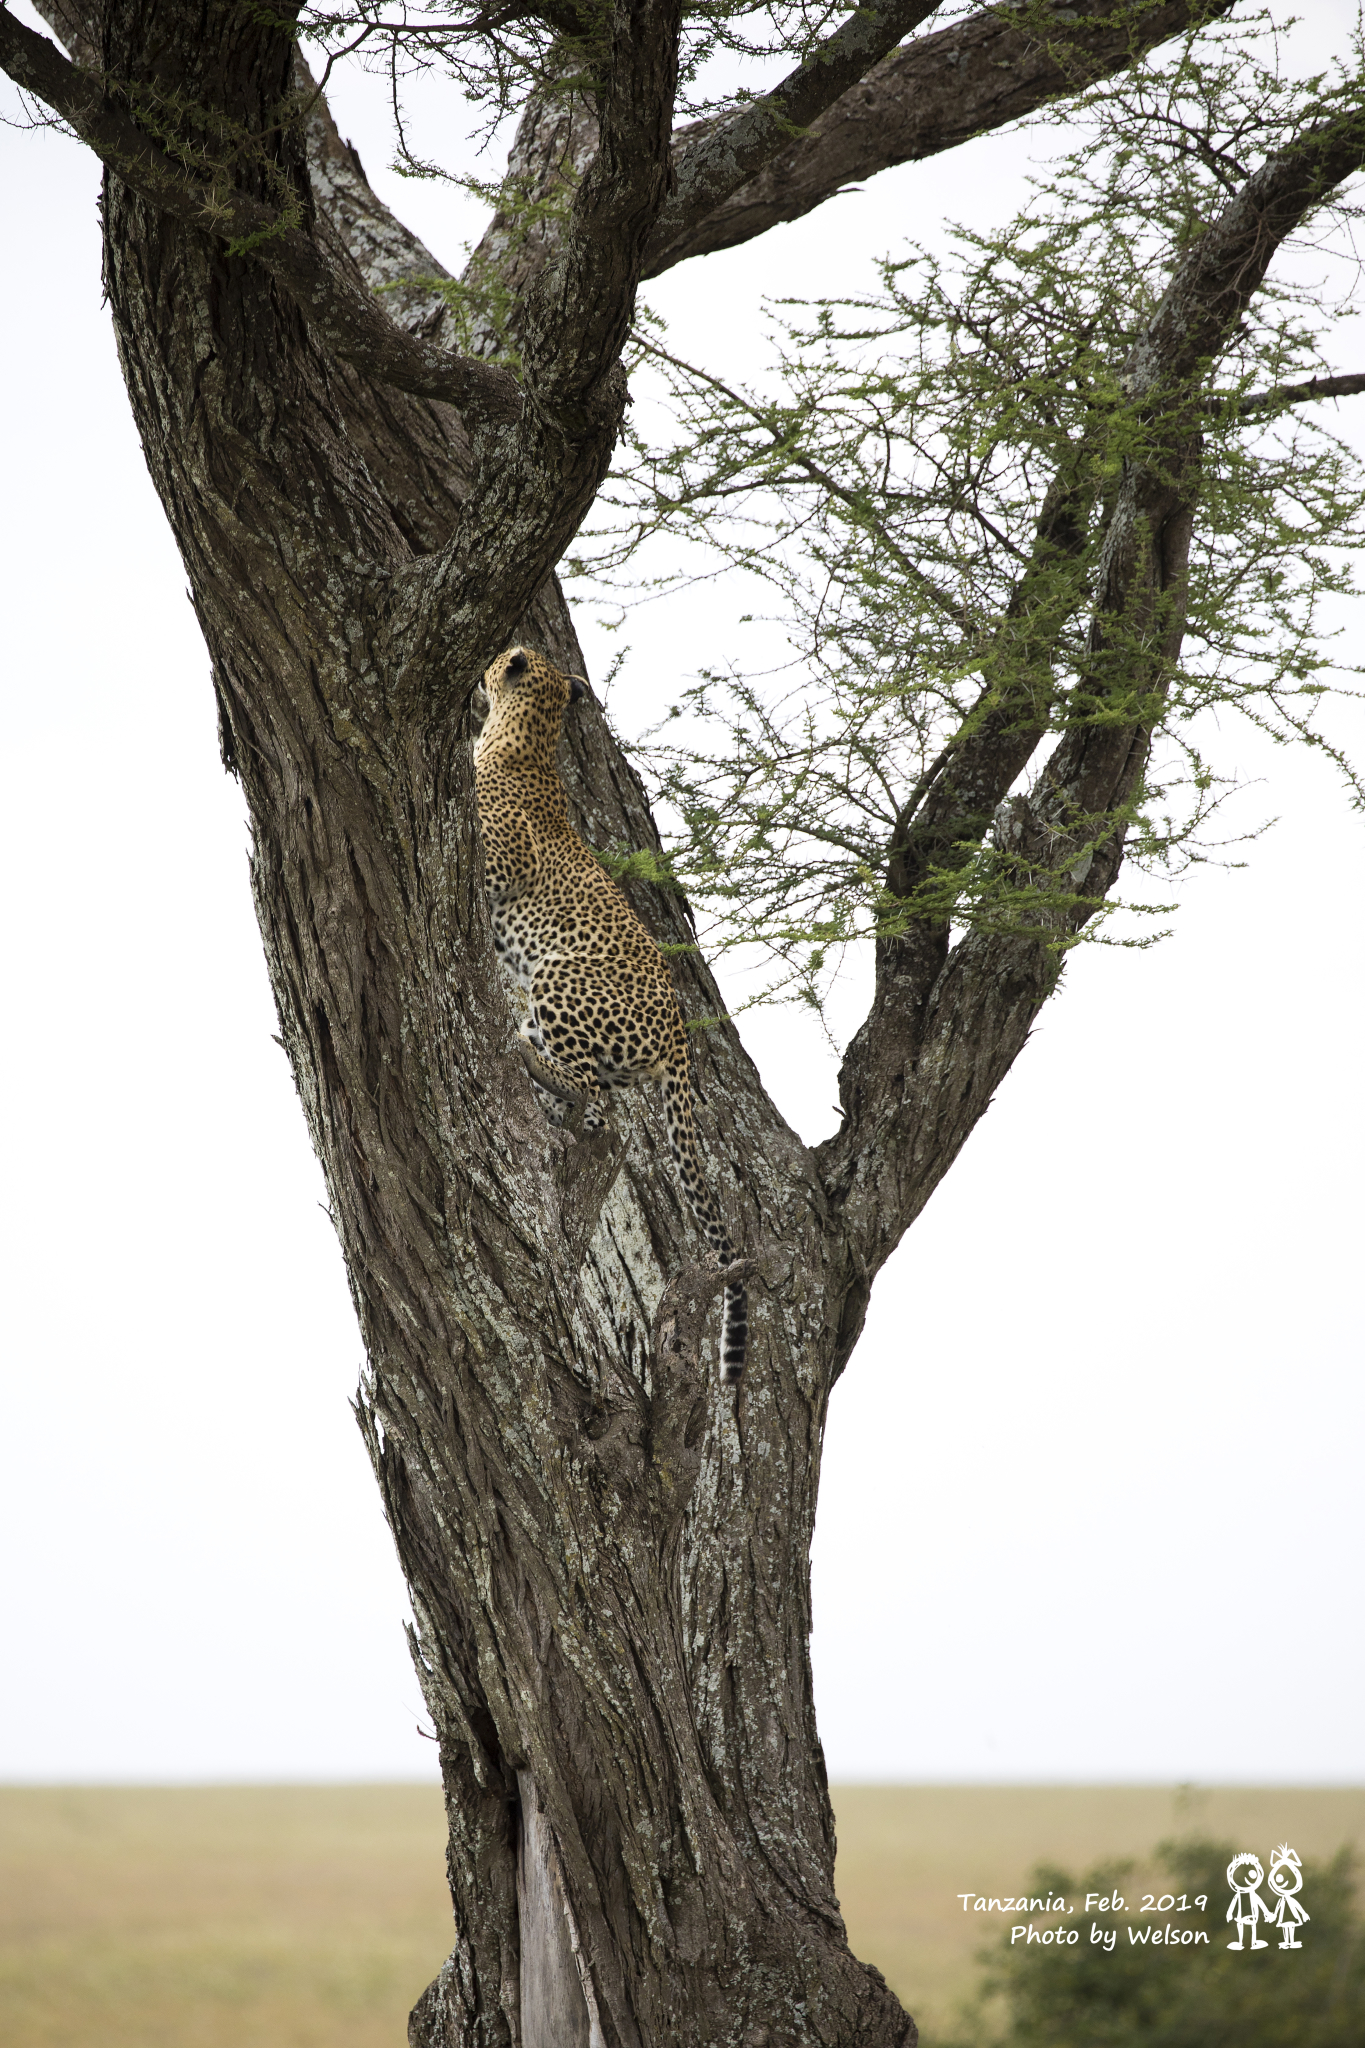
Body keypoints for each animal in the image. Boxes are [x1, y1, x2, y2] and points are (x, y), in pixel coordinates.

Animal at [472, 647, 749, 1384]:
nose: (484, 666)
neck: (525, 738)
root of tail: (680, 1035)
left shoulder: (499, 865)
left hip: (556, 974)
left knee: (598, 1098)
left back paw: (539, 1070)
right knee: (603, 1097)